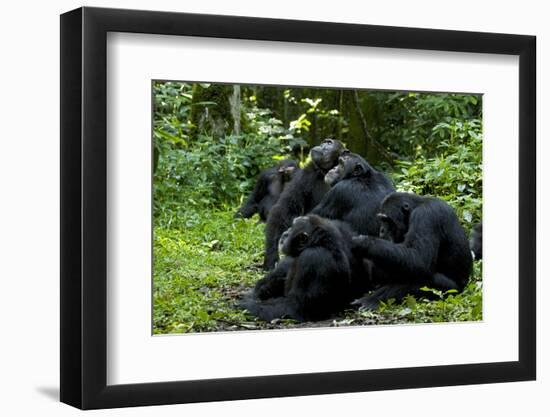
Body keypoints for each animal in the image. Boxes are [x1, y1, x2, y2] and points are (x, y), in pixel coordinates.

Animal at [266, 138, 348, 270]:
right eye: (325, 142)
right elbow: (284, 209)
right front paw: (271, 257)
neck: (327, 171)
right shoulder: (306, 173)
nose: (322, 145)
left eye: (329, 143)